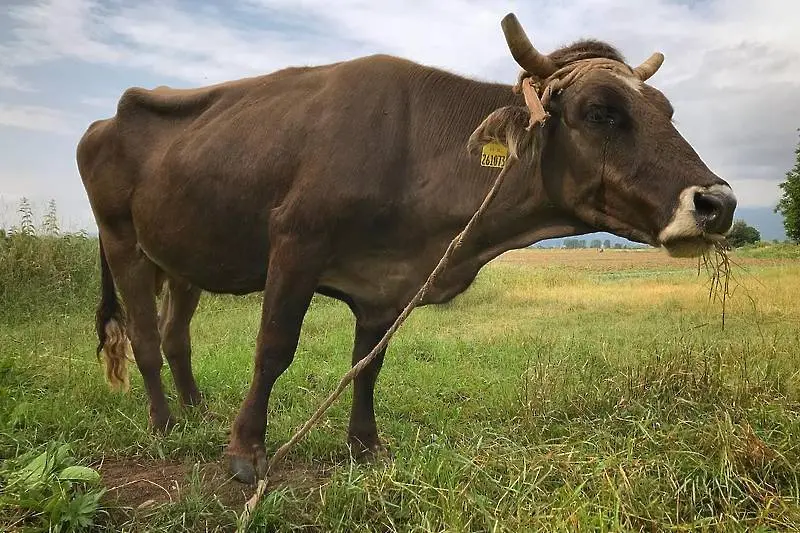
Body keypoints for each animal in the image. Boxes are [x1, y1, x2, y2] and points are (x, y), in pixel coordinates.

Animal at [75, 13, 736, 482]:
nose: (718, 202)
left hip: (182, 257)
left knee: (174, 334)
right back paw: (165, 424)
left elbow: (369, 361)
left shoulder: (388, 280)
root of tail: (106, 119)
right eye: (600, 111)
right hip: (122, 240)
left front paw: (365, 446)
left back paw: (195, 412)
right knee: (143, 336)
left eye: (667, 110)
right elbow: (274, 348)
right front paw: (245, 453)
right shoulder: (295, 241)